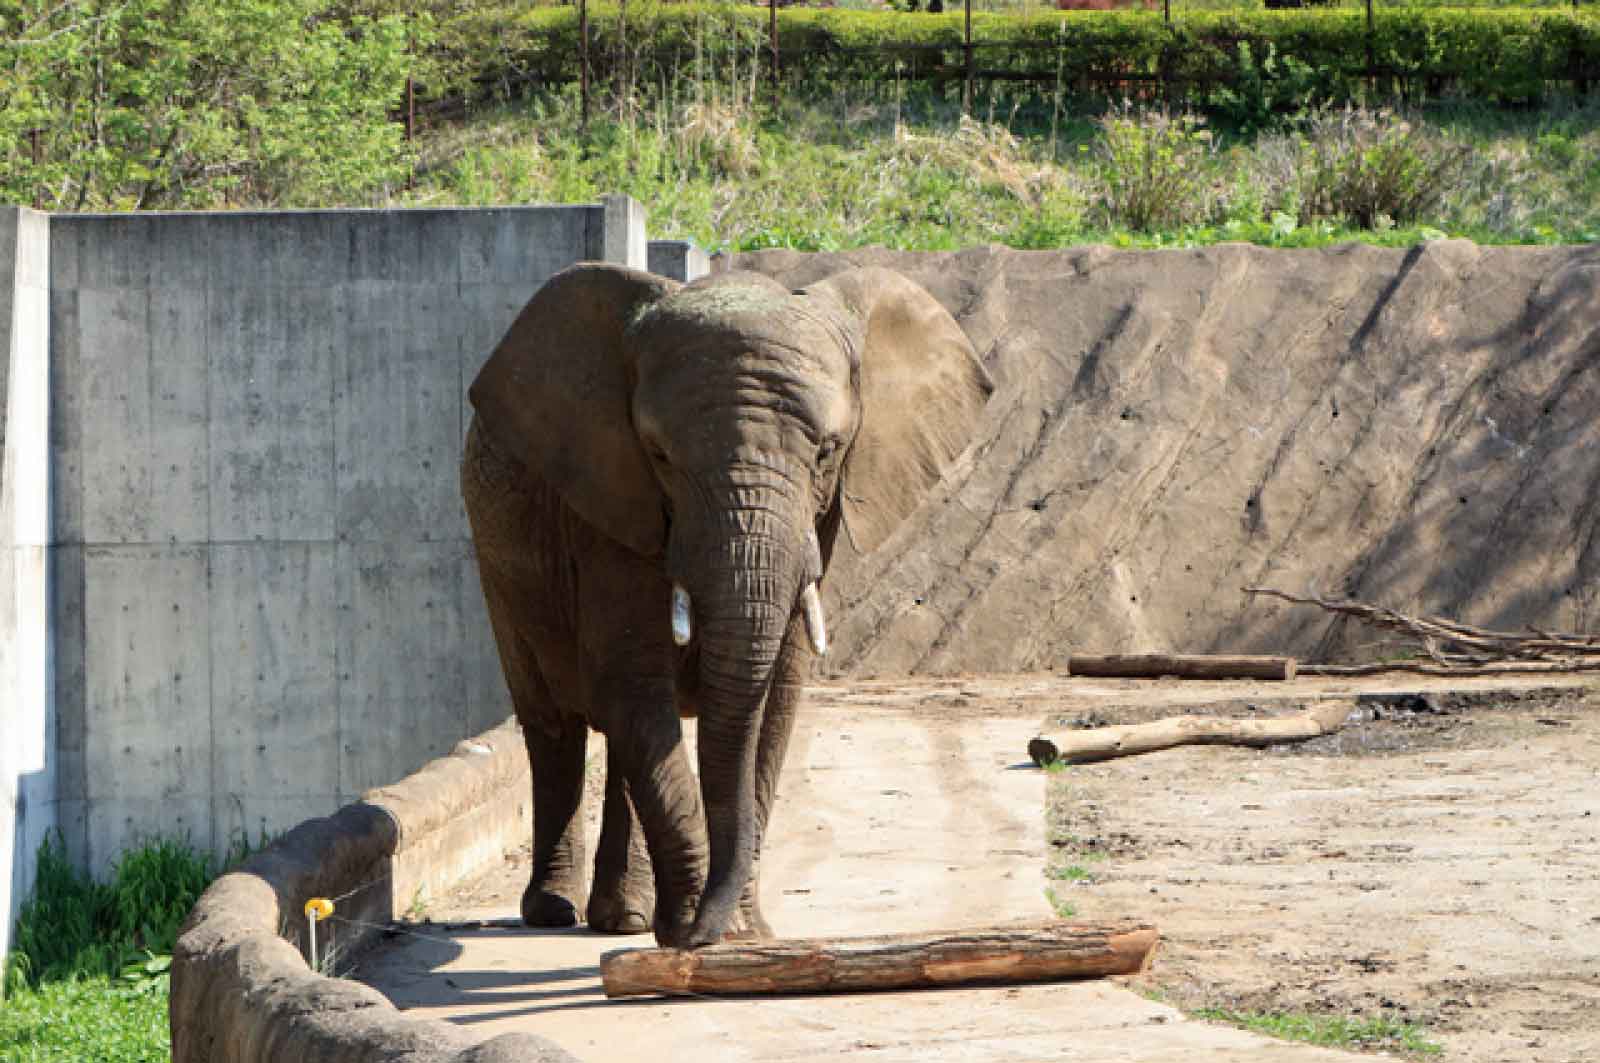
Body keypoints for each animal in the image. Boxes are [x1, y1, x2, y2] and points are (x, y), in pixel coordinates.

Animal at [457, 264, 992, 947]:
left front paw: (740, 935)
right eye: (659, 454)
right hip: (497, 560)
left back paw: (624, 920)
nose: (701, 935)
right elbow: (634, 686)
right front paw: (694, 930)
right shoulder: (609, 505)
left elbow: (772, 698)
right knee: (555, 723)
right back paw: (557, 911)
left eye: (828, 451)